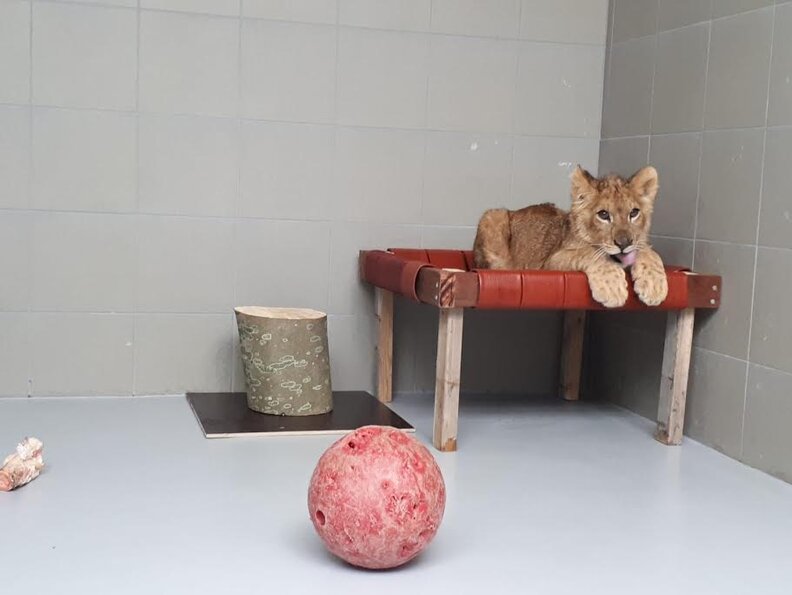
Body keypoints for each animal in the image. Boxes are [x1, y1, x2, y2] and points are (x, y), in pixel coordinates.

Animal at [473, 165, 668, 308]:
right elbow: (588, 252)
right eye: (603, 215)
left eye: (634, 213)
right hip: (493, 215)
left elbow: (650, 252)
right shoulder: (550, 263)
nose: (624, 243)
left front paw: (655, 286)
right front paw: (612, 288)